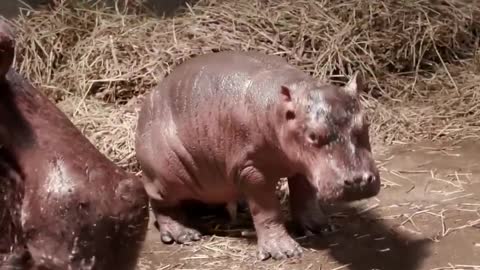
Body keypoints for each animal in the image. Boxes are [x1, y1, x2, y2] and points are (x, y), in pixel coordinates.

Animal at [136, 50, 382, 260]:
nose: (359, 181)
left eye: (366, 122)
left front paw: (322, 227)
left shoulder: (303, 164)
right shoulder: (252, 169)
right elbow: (267, 210)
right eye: (313, 135)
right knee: (160, 202)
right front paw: (284, 252)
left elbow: (305, 195)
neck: (281, 110)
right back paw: (184, 234)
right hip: (165, 175)